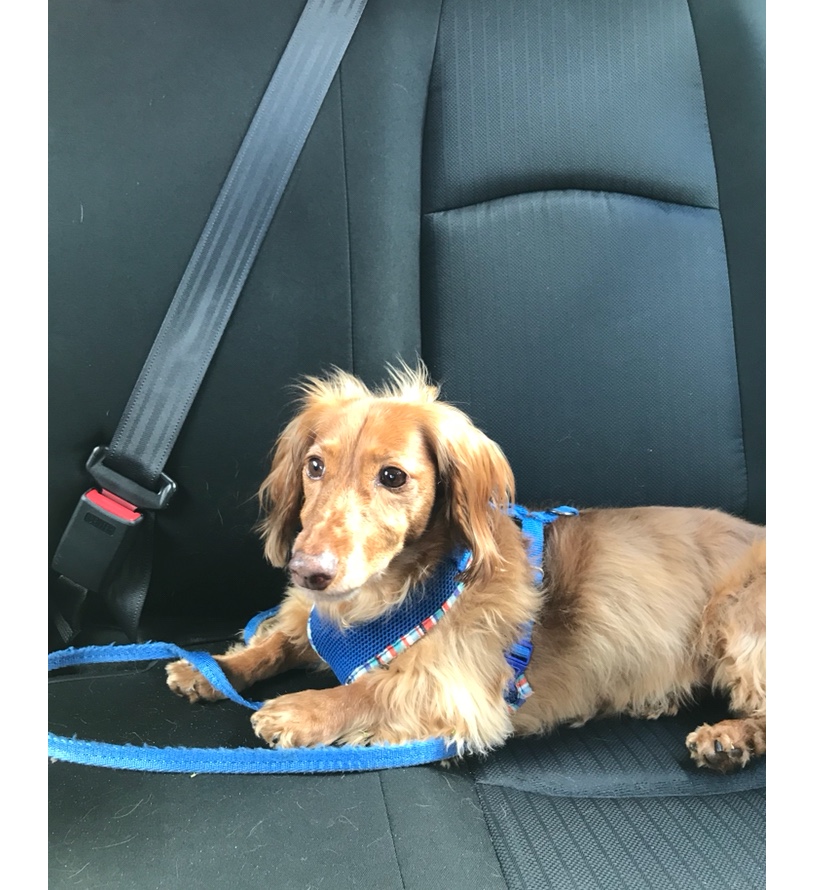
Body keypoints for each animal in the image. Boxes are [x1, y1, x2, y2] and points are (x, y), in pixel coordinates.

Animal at [164, 360, 768, 772]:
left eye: (392, 476)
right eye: (314, 466)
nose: (308, 572)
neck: (388, 592)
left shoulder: (461, 693)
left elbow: (370, 690)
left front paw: (299, 711)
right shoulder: (315, 622)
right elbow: (277, 642)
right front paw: (210, 669)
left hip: (736, 618)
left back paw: (729, 738)